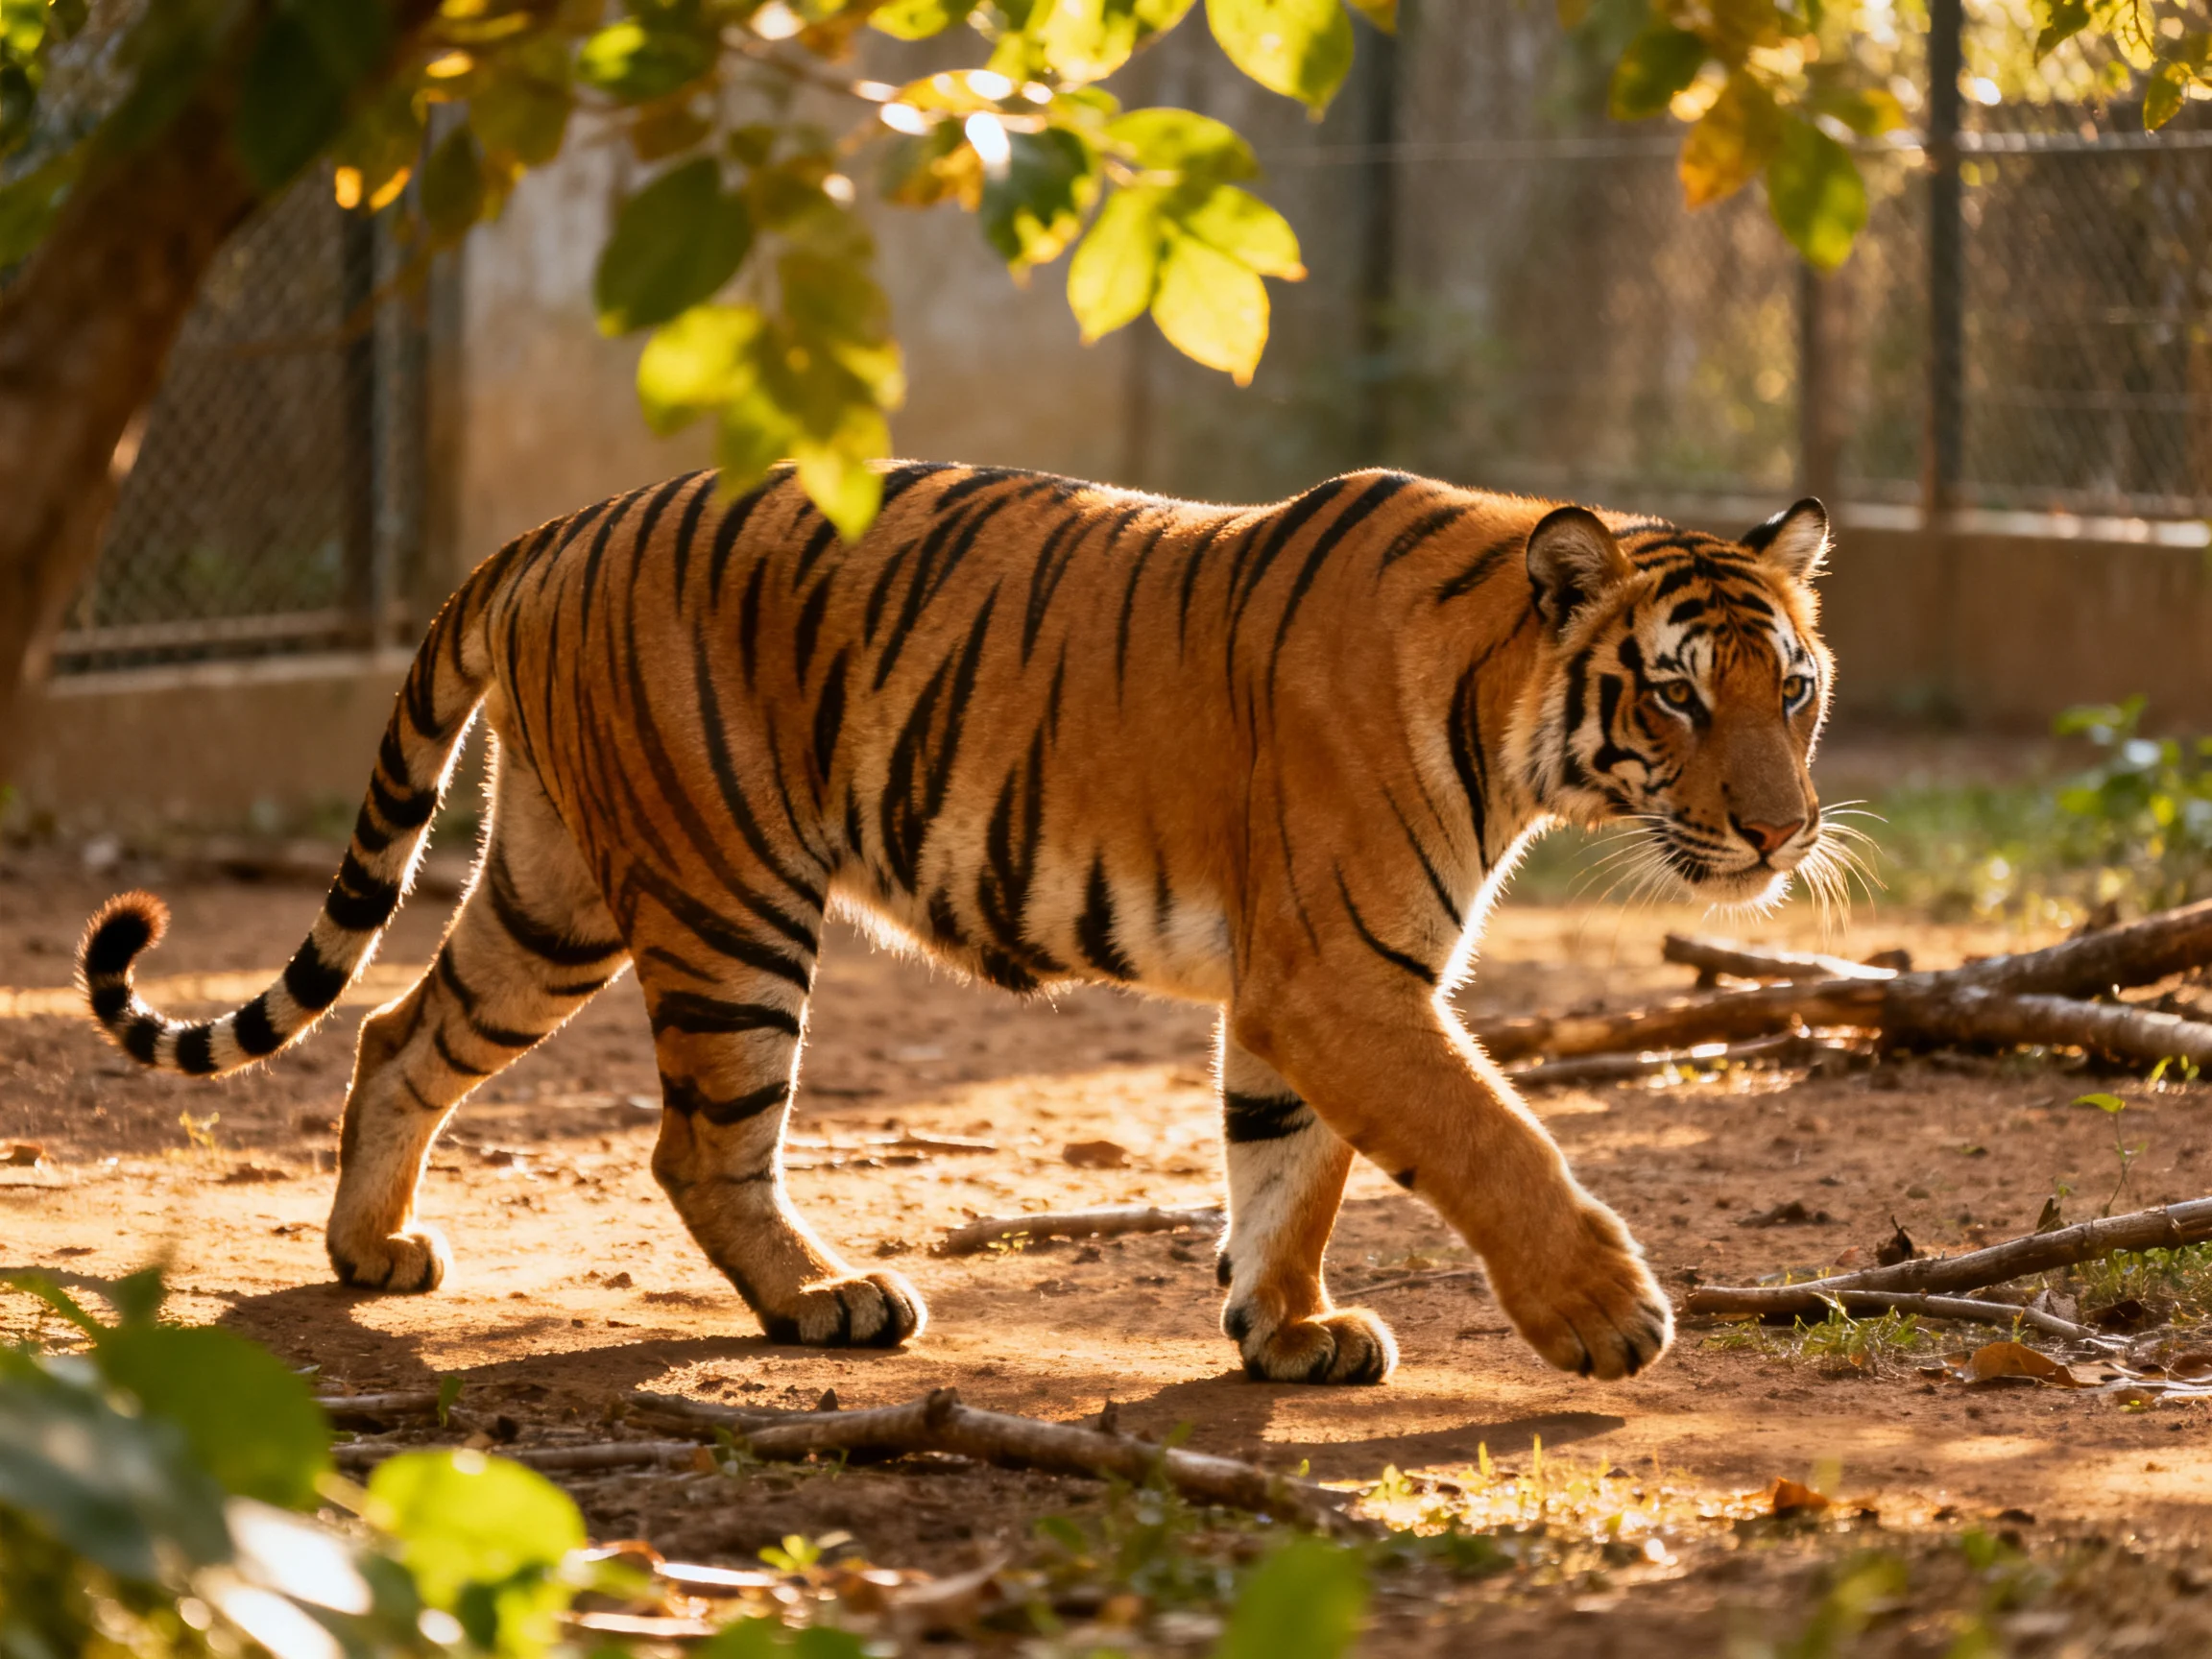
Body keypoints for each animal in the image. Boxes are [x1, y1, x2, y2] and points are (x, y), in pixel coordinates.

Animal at [78, 460, 1835, 1385]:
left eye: (1795, 687)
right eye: (1676, 692)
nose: (1782, 829)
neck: (1511, 726)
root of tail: (554, 527)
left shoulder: (1301, 989)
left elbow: (1289, 1165)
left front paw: (1283, 1327)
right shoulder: (1343, 974)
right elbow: (1486, 1136)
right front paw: (1607, 1315)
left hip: (554, 889)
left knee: (395, 1029)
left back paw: (368, 1251)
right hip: (727, 901)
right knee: (698, 1143)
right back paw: (823, 1300)